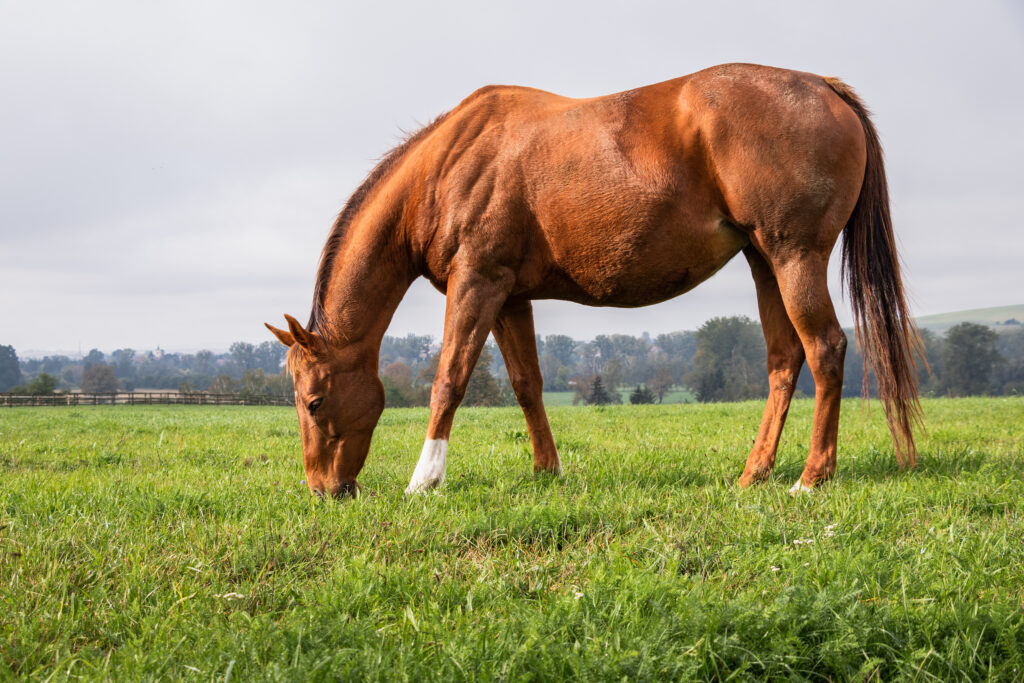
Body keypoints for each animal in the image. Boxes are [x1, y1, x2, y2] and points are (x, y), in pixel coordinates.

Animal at [262, 62, 921, 497]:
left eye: (313, 400)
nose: (323, 489)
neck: (449, 163)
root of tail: (821, 86)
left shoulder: (476, 284)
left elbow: (448, 380)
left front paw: (424, 480)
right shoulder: (509, 297)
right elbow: (527, 385)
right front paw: (546, 471)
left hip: (794, 257)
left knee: (826, 349)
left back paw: (812, 478)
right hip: (765, 261)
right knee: (785, 359)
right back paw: (754, 473)